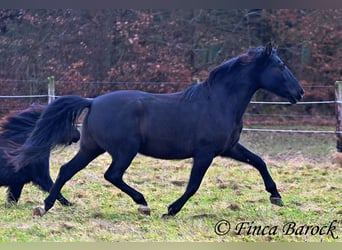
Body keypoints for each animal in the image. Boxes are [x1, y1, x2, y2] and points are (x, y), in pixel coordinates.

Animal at [6, 43, 304, 217]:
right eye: (280, 66)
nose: (299, 93)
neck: (219, 101)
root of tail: (93, 101)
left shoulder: (229, 148)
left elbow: (259, 162)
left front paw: (276, 197)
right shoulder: (205, 153)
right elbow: (194, 184)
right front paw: (171, 210)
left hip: (92, 147)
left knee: (67, 170)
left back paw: (46, 206)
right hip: (124, 151)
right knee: (111, 174)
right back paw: (142, 202)